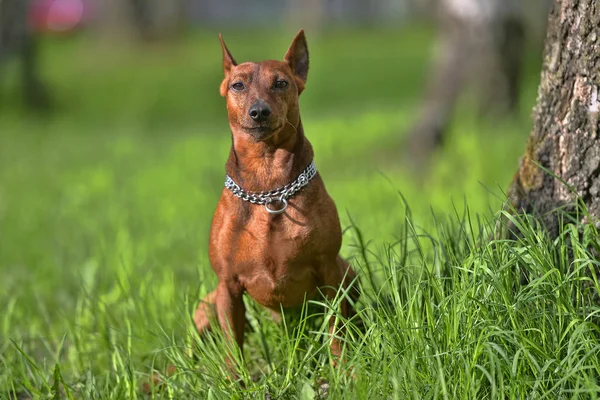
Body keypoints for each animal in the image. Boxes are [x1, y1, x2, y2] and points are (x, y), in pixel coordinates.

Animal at [195, 29, 358, 368]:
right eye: (238, 85)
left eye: (281, 83)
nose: (259, 112)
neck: (268, 185)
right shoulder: (227, 286)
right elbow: (233, 348)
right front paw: (236, 378)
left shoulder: (330, 270)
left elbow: (336, 328)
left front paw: (343, 370)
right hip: (205, 307)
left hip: (350, 273)